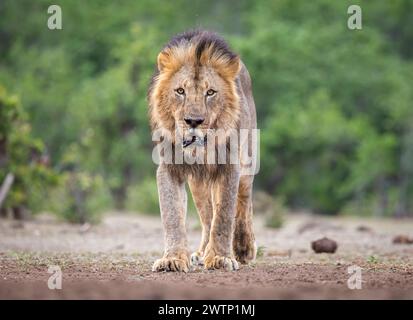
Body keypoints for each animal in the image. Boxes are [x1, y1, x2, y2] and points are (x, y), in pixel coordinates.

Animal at [148, 30, 256, 272]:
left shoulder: (229, 168)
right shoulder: (169, 168)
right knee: (207, 217)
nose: (193, 121)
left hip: (247, 163)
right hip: (197, 184)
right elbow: (172, 215)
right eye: (180, 91)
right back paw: (202, 252)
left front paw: (220, 258)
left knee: (243, 201)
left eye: (210, 92)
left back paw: (243, 247)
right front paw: (173, 259)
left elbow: (224, 215)